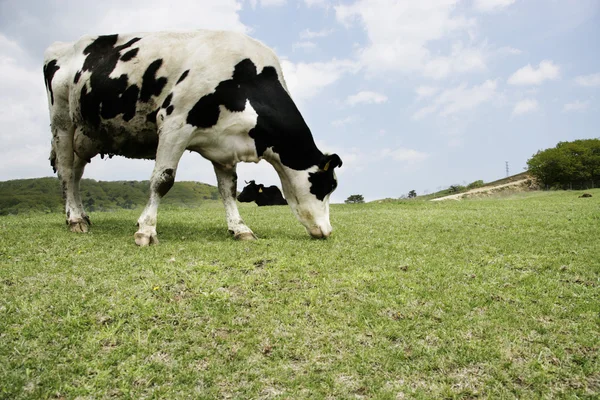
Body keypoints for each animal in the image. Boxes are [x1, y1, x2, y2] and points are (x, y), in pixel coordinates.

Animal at [42, 29, 342, 244]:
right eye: (328, 185)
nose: (328, 231)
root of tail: (62, 46)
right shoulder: (174, 123)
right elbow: (162, 180)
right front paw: (146, 230)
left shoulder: (225, 146)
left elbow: (228, 189)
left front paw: (239, 228)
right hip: (62, 122)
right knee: (66, 171)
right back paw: (74, 220)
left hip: (86, 135)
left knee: (77, 173)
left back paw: (80, 214)